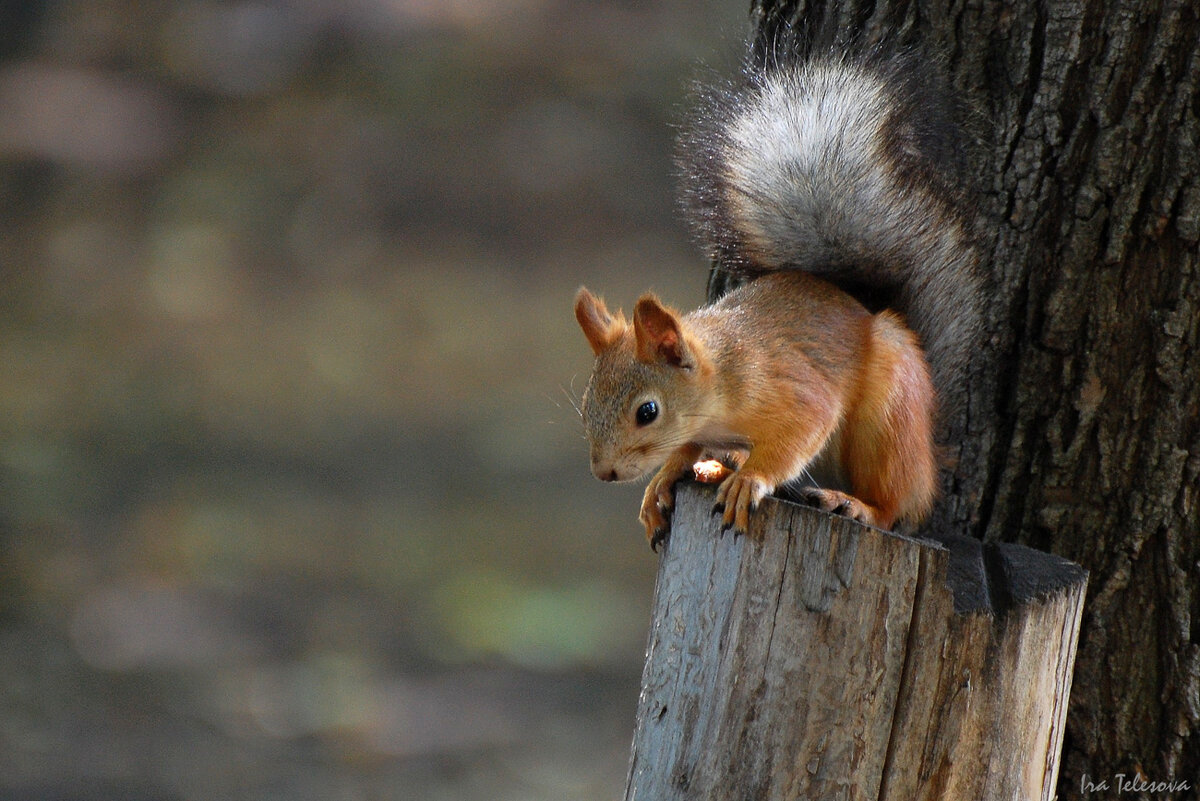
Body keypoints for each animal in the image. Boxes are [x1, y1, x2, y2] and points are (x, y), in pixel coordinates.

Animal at [576, 50, 979, 551]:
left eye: (647, 412)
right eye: (588, 401)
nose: (604, 472)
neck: (724, 373)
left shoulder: (792, 389)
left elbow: (798, 433)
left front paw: (750, 480)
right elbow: (684, 448)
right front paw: (664, 481)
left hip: (889, 421)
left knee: (894, 501)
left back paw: (856, 504)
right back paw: (715, 468)